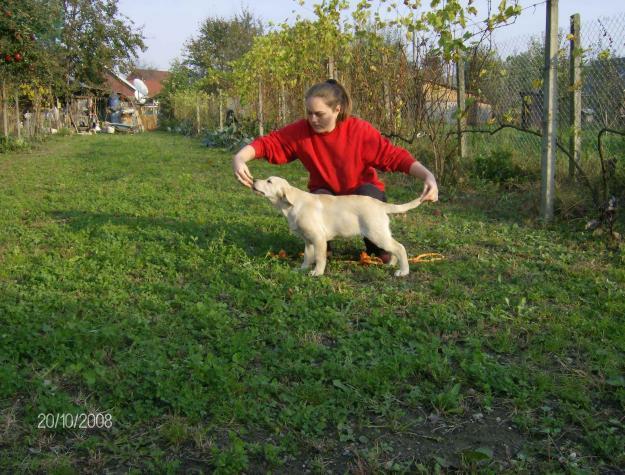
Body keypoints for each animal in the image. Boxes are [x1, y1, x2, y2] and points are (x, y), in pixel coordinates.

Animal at [251, 178, 422, 276]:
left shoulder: (318, 238)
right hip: (381, 234)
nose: (253, 180)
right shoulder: (308, 240)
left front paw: (317, 273)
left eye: (269, 181)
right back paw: (391, 264)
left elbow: (320, 258)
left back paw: (403, 271)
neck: (291, 205)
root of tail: (380, 204)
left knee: (400, 247)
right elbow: (307, 256)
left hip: (376, 233)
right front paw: (302, 269)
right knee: (395, 248)